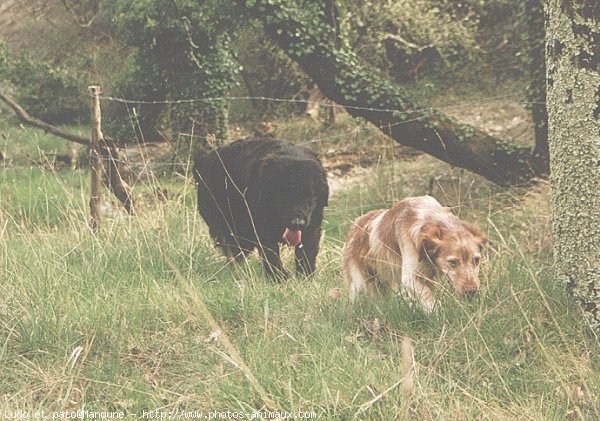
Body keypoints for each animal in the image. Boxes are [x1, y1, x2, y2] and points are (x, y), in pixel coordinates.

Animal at [193, 136, 328, 278]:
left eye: (309, 196)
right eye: (284, 194)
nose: (297, 223)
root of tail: (204, 159)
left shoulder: (312, 227)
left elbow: (306, 254)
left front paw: (305, 276)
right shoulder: (263, 229)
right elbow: (271, 256)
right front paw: (279, 277)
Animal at [342, 195, 488, 310]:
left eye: (476, 259)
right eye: (452, 262)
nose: (471, 291)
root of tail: (355, 224)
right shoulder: (410, 277)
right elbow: (429, 299)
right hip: (358, 285)